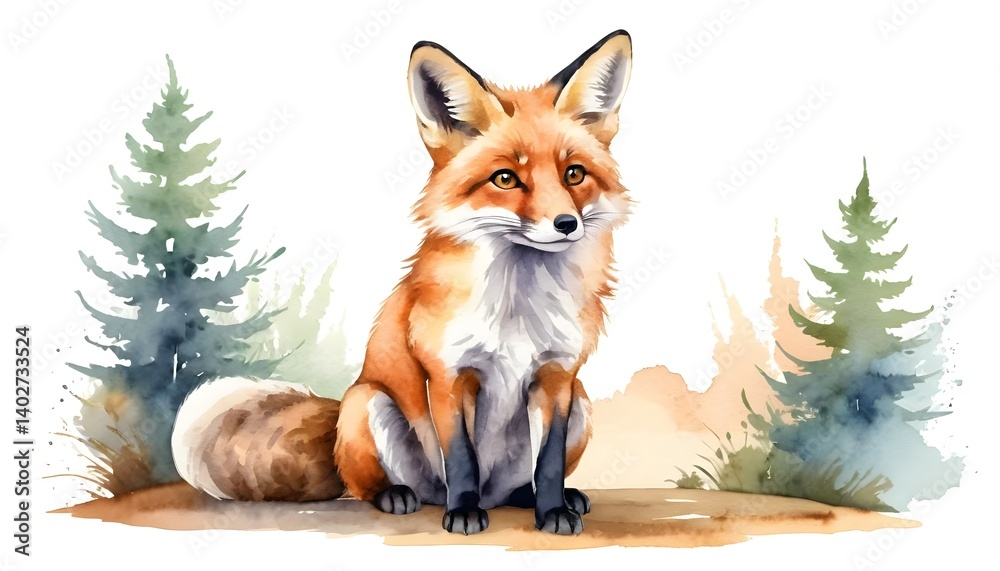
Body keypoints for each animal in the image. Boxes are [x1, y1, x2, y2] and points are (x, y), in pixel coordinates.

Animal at [171, 29, 633, 535]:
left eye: (574, 173)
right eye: (506, 178)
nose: (567, 224)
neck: (518, 308)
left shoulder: (558, 377)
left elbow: (547, 462)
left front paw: (552, 512)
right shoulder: (449, 375)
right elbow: (462, 457)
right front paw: (463, 512)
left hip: (581, 403)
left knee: (516, 487)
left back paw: (541, 499)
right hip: (368, 402)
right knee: (370, 485)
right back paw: (402, 496)